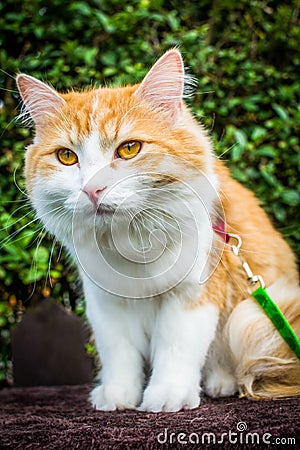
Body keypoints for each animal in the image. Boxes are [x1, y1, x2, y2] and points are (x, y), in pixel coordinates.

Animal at [17, 49, 300, 412]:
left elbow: (177, 347)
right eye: (66, 156)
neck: (132, 243)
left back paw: (220, 382)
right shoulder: (106, 304)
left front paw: (167, 395)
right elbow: (118, 353)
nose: (93, 189)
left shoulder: (193, 294)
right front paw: (117, 395)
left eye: (128, 149)